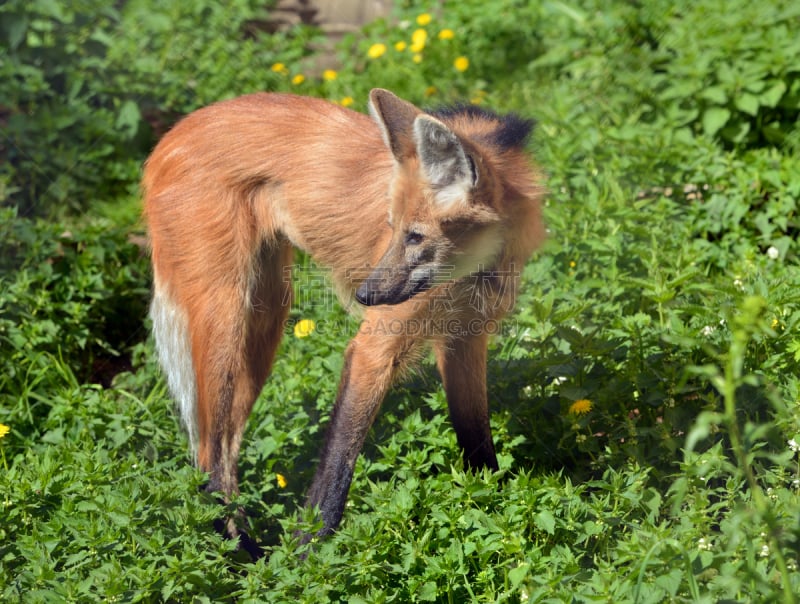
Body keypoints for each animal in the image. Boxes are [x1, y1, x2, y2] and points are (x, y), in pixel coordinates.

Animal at [142, 86, 544, 552]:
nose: (364, 296)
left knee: (221, 447)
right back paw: (245, 556)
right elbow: (336, 467)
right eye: (393, 228)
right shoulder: (373, 350)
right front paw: (307, 556)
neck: (473, 273)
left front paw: (492, 509)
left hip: (264, 322)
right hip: (228, 319)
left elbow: (477, 441)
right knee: (210, 455)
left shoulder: (465, 338)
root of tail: (171, 135)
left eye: (416, 236)